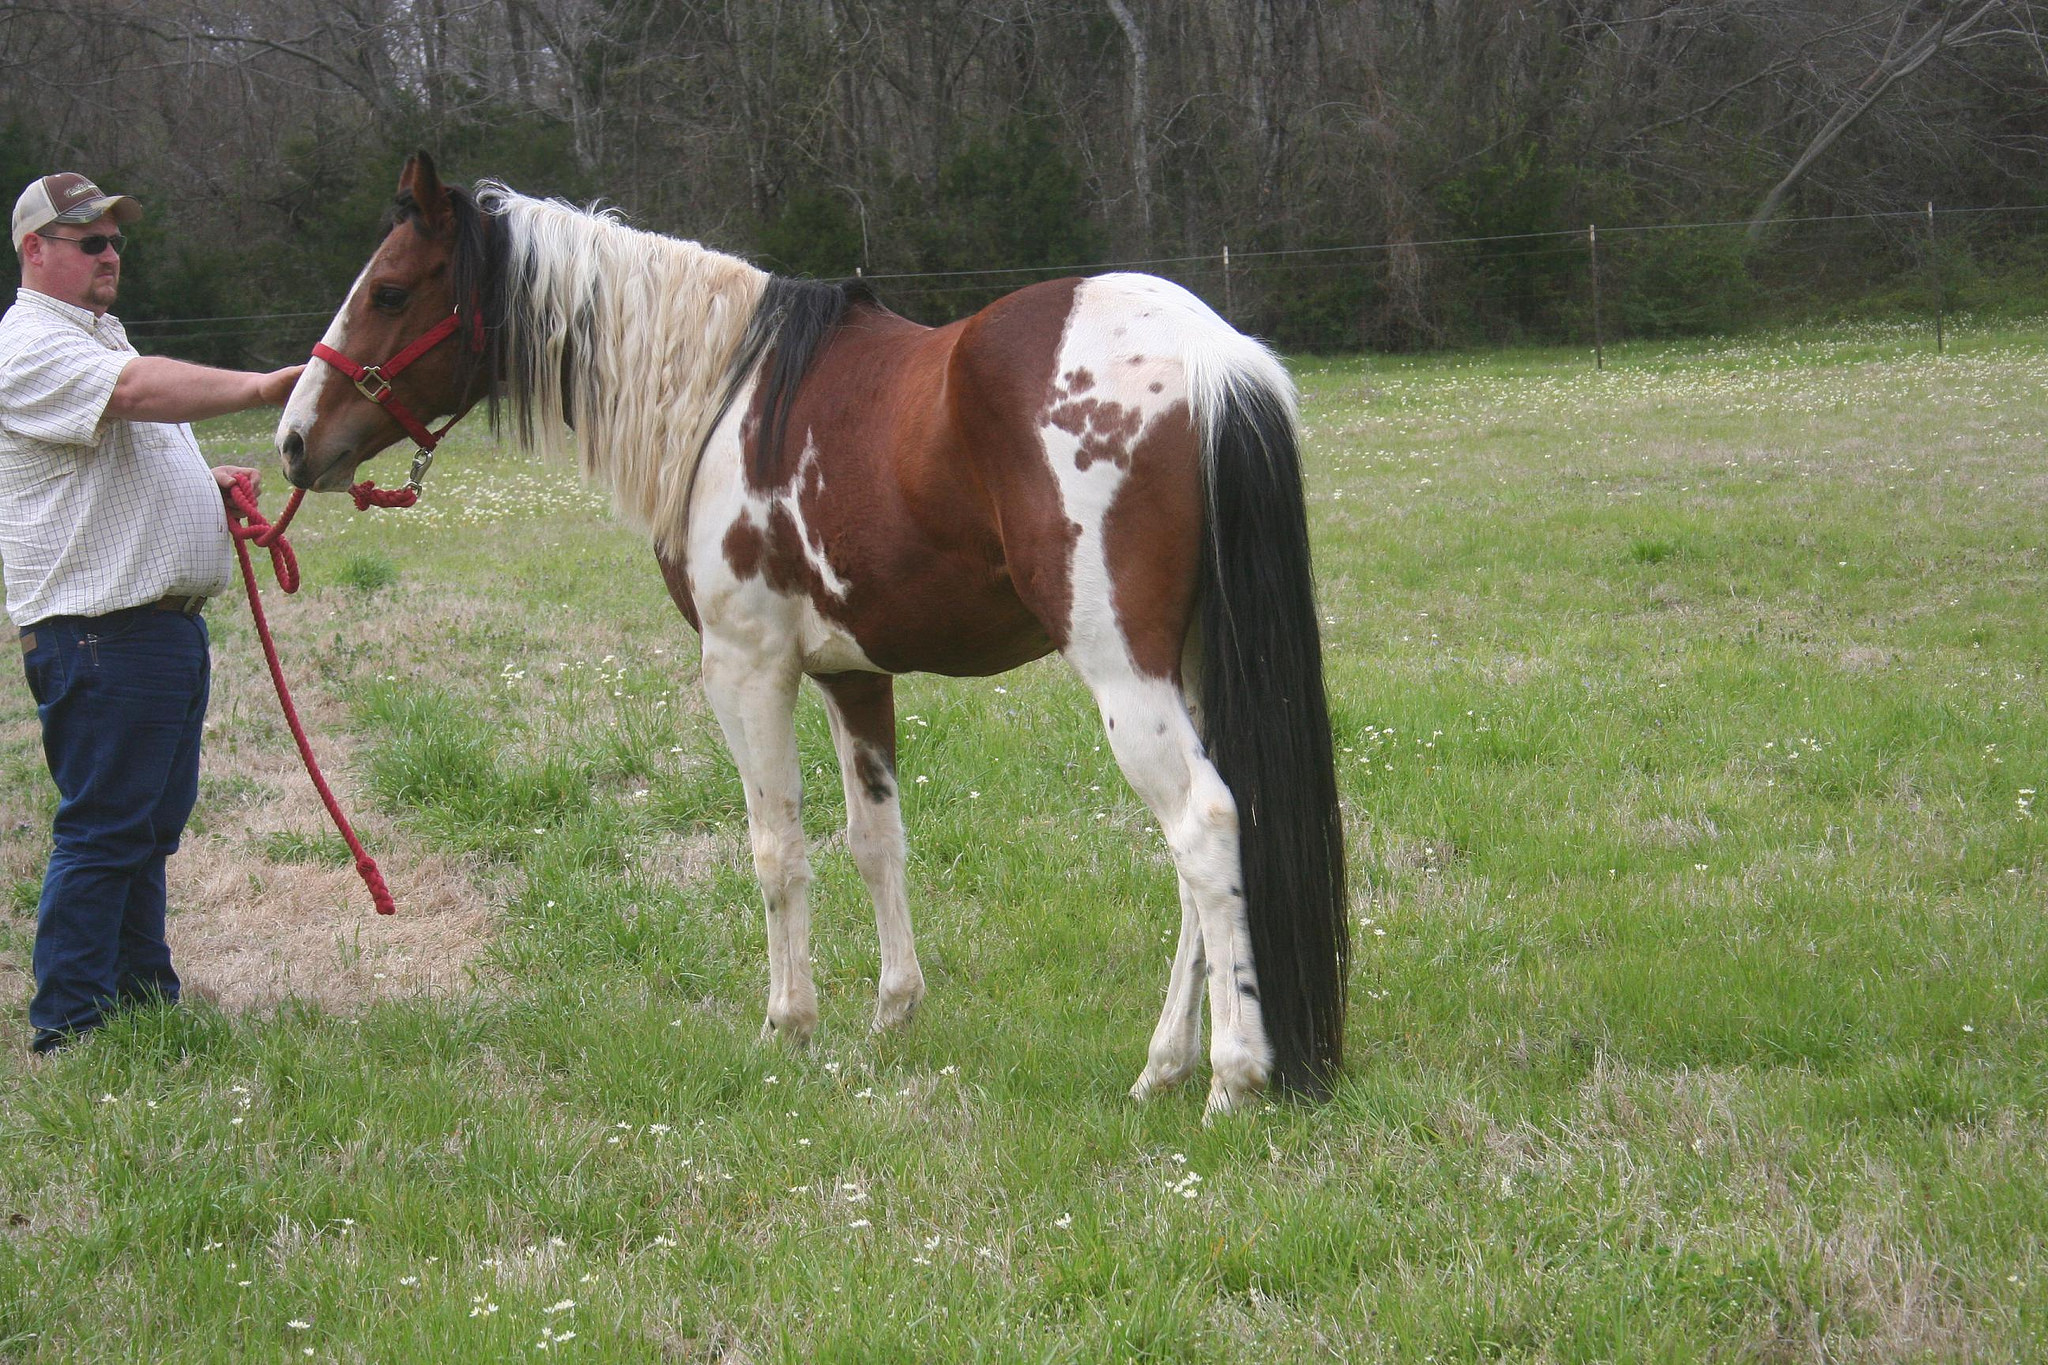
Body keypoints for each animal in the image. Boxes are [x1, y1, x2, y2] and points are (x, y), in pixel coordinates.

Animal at [276, 152, 1347, 1115]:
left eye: (389, 290)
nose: (292, 441)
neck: (723, 397)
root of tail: (1211, 356)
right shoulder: (853, 675)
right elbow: (875, 841)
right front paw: (892, 1013)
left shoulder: (747, 671)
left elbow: (776, 849)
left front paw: (786, 1026)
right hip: (1194, 668)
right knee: (1213, 846)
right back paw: (1164, 1066)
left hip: (1127, 676)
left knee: (1203, 827)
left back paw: (1232, 1077)